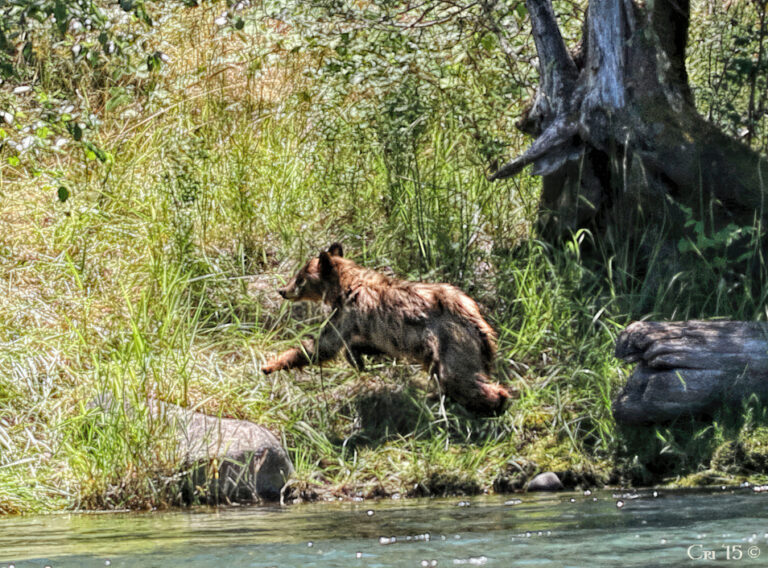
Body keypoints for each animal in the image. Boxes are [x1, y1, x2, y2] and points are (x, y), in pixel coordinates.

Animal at [262, 243, 510, 414]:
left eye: (300, 278)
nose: (282, 290)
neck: (344, 286)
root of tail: (478, 319)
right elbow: (359, 344)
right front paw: (358, 358)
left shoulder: (348, 313)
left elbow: (324, 346)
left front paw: (271, 363)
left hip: (451, 341)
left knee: (458, 377)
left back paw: (496, 402)